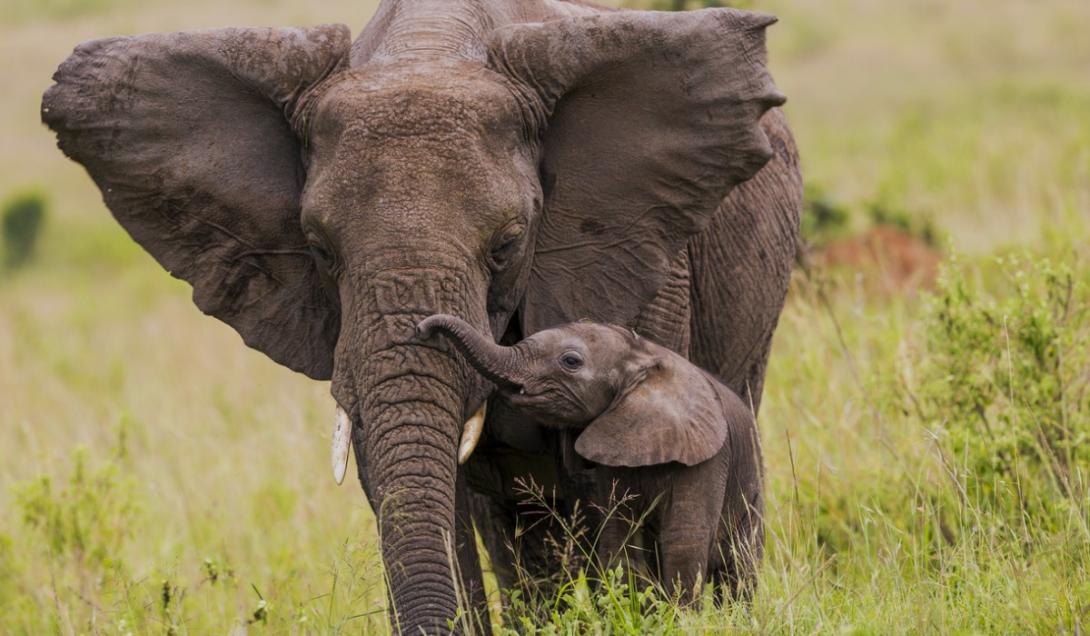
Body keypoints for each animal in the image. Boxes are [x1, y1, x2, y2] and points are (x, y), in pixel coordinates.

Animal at [418, 314, 764, 603]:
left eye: (570, 361)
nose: (422, 328)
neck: (643, 356)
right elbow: (618, 537)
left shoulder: (705, 460)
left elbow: (683, 543)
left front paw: (679, 619)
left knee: (739, 570)